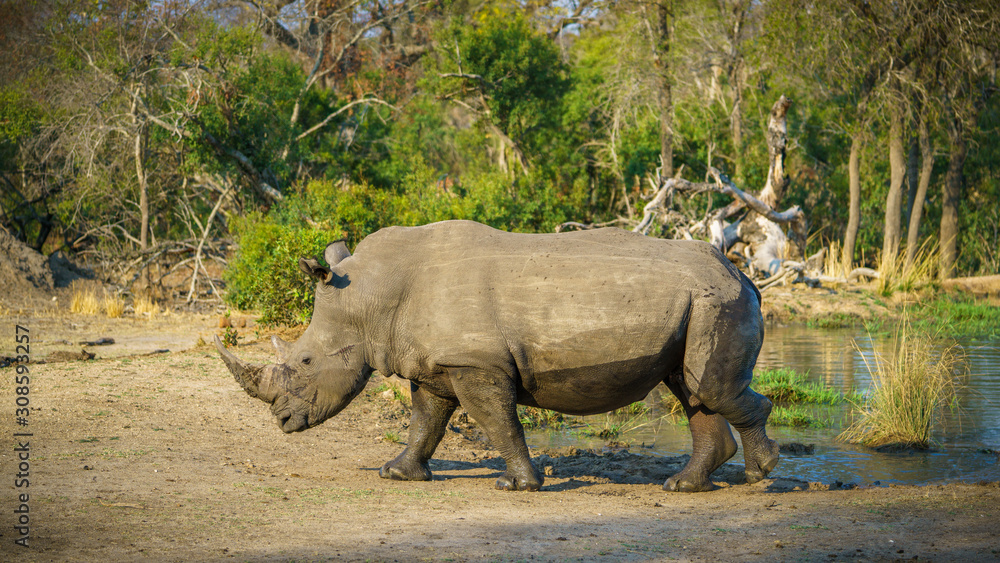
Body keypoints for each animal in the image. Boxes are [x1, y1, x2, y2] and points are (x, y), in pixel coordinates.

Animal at [216, 220, 779, 492]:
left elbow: (496, 421)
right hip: (702, 302)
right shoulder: (438, 366)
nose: (282, 421)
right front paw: (396, 474)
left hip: (716, 301)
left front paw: (517, 486)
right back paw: (683, 487)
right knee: (693, 390)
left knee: (709, 389)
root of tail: (743, 272)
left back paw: (760, 475)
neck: (370, 298)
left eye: (306, 363)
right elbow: (426, 421)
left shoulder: (474, 363)